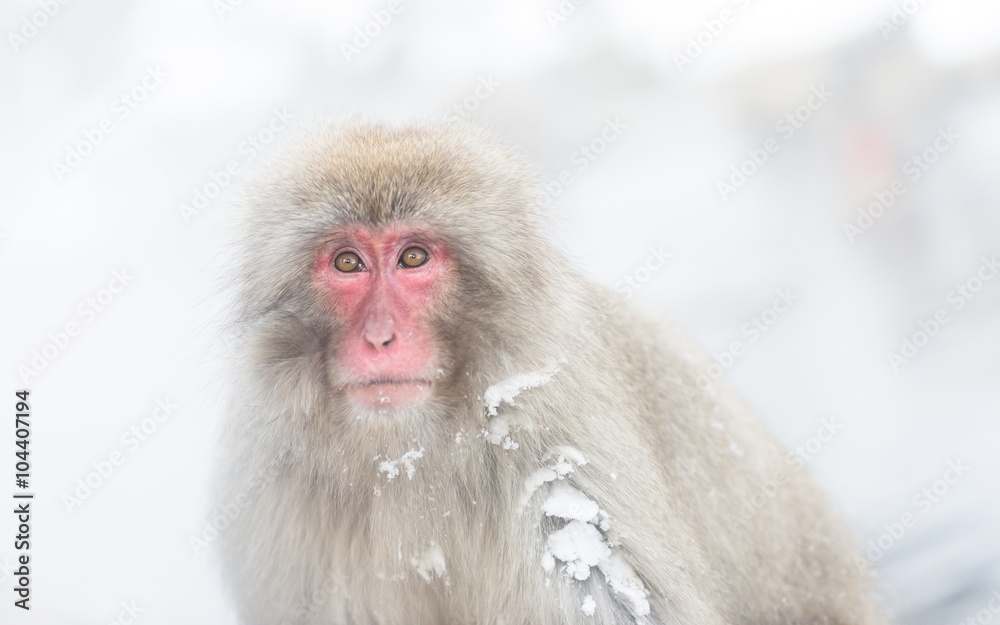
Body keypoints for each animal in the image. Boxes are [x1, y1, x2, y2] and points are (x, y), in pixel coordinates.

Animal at [213, 120, 886, 625]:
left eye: (413, 257)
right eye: (348, 262)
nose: (380, 337)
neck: (411, 457)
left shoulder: (557, 450)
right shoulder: (275, 483)